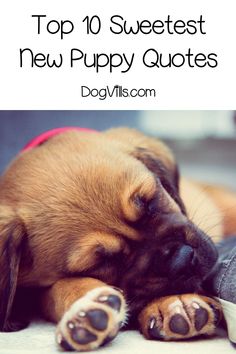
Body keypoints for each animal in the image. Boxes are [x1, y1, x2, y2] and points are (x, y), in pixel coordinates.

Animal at [0, 128, 236, 352]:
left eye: (150, 203)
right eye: (103, 262)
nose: (182, 258)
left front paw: (175, 302)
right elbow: (58, 289)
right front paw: (88, 308)